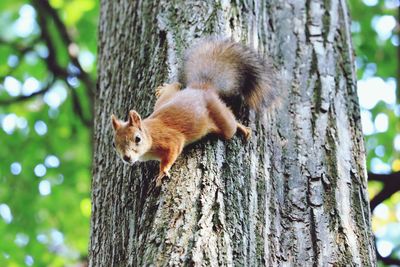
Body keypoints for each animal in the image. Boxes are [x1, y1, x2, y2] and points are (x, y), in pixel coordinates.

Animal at [109, 37, 278, 188]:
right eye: (113, 144)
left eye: (137, 139)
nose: (127, 158)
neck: (150, 133)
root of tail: (201, 87)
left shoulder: (171, 139)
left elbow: (170, 154)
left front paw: (162, 172)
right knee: (175, 86)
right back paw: (164, 88)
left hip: (220, 116)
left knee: (230, 124)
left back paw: (241, 127)